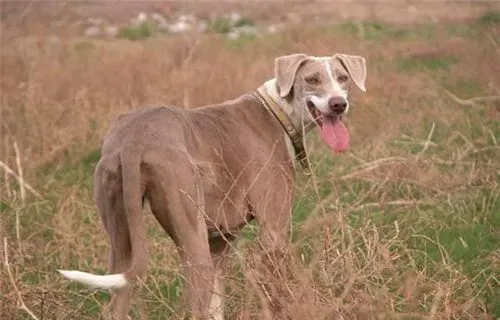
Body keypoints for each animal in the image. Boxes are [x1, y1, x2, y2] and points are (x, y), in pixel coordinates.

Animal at [58, 53, 368, 318]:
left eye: (343, 77)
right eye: (312, 79)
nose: (338, 103)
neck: (277, 111)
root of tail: (134, 138)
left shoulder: (220, 241)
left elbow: (216, 305)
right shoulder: (273, 232)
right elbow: (277, 291)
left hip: (121, 235)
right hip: (192, 241)